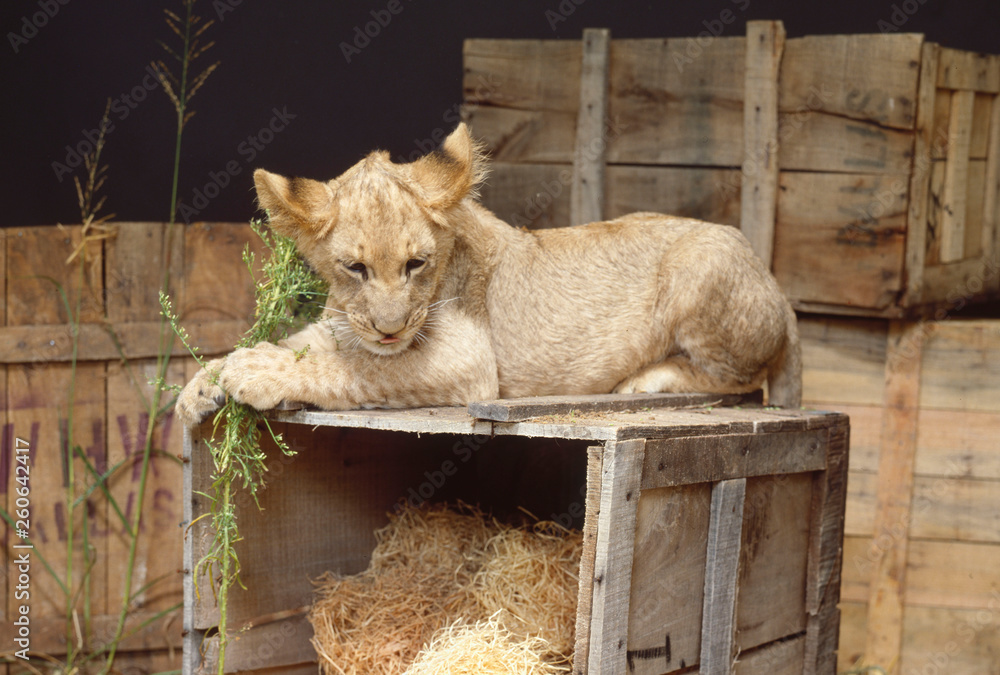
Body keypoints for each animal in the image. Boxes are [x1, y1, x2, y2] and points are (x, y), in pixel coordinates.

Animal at [175, 123, 800, 427]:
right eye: (354, 268)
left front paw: (254, 373)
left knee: (742, 381)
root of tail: (781, 292)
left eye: (416, 264)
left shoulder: (470, 362)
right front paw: (202, 384)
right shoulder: (341, 324)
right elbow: (303, 345)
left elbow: (357, 370)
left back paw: (647, 380)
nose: (390, 330)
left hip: (704, 260)